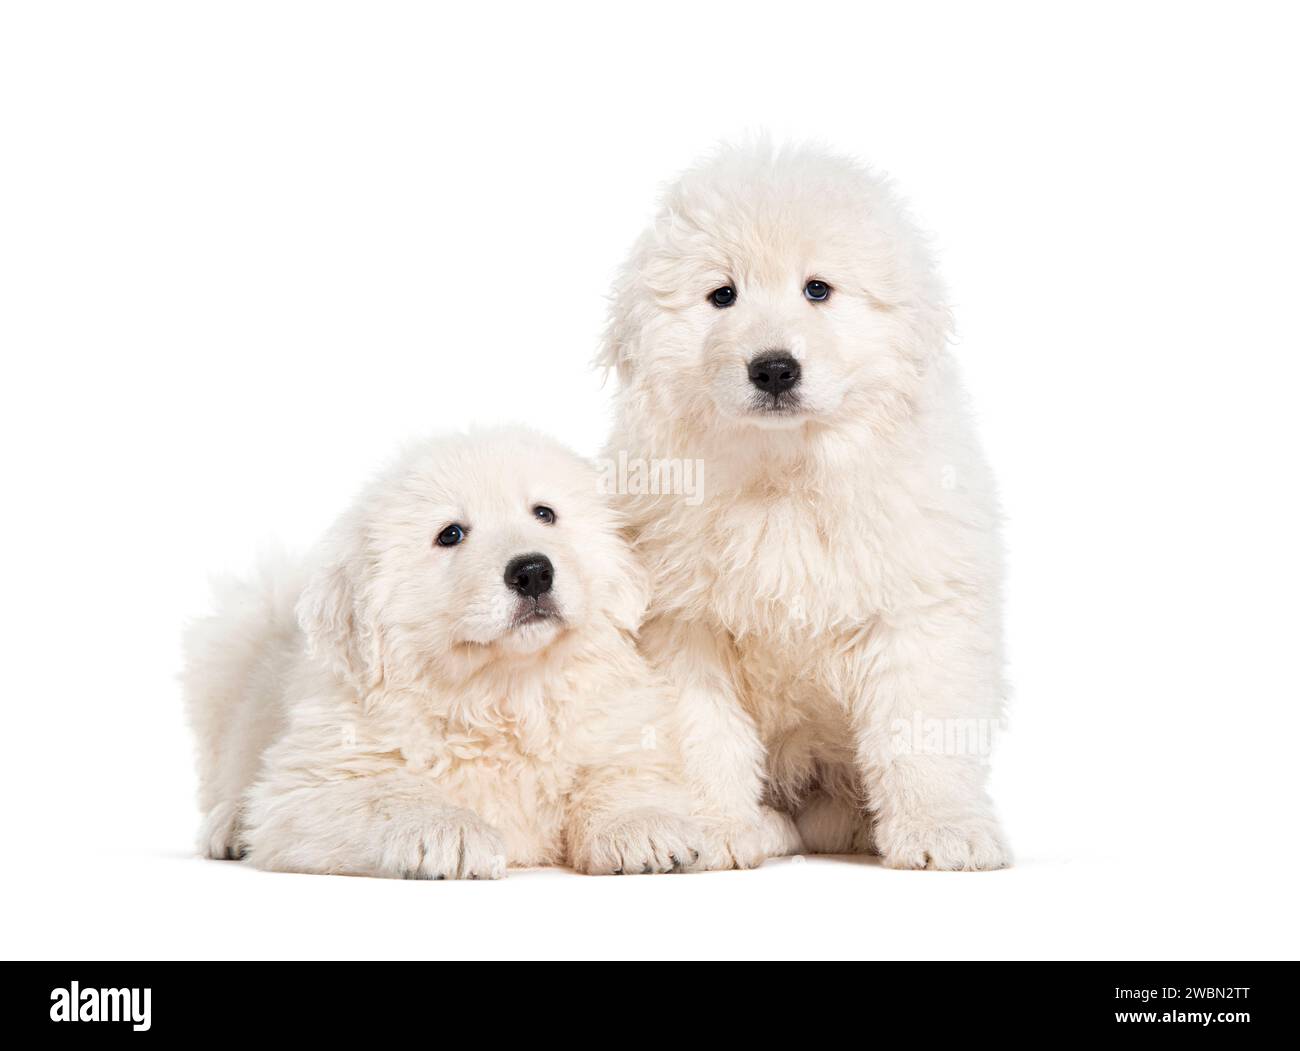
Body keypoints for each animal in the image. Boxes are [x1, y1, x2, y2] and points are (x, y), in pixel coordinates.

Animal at [182, 426, 702, 879]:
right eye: (450, 534)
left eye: (544, 513)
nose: (533, 572)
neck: (505, 691)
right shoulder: (312, 782)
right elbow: (388, 793)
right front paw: (450, 832)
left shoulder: (622, 730)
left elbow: (620, 777)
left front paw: (643, 828)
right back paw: (229, 825)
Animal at [598, 143, 1013, 874]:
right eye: (723, 294)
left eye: (817, 289)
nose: (773, 369)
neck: (787, 472)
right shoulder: (681, 626)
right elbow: (703, 735)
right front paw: (713, 828)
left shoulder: (917, 609)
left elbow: (921, 729)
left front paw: (942, 826)